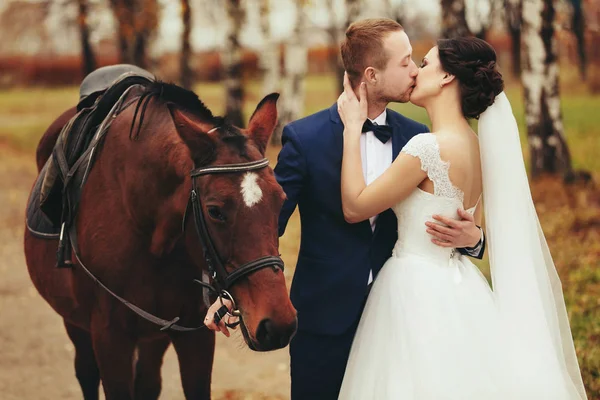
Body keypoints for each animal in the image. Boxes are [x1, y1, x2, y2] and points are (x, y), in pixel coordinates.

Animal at [24, 78, 296, 400]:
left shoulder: (192, 333)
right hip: (76, 322)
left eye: (281, 201)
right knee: (87, 373)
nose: (277, 324)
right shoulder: (108, 336)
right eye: (214, 211)